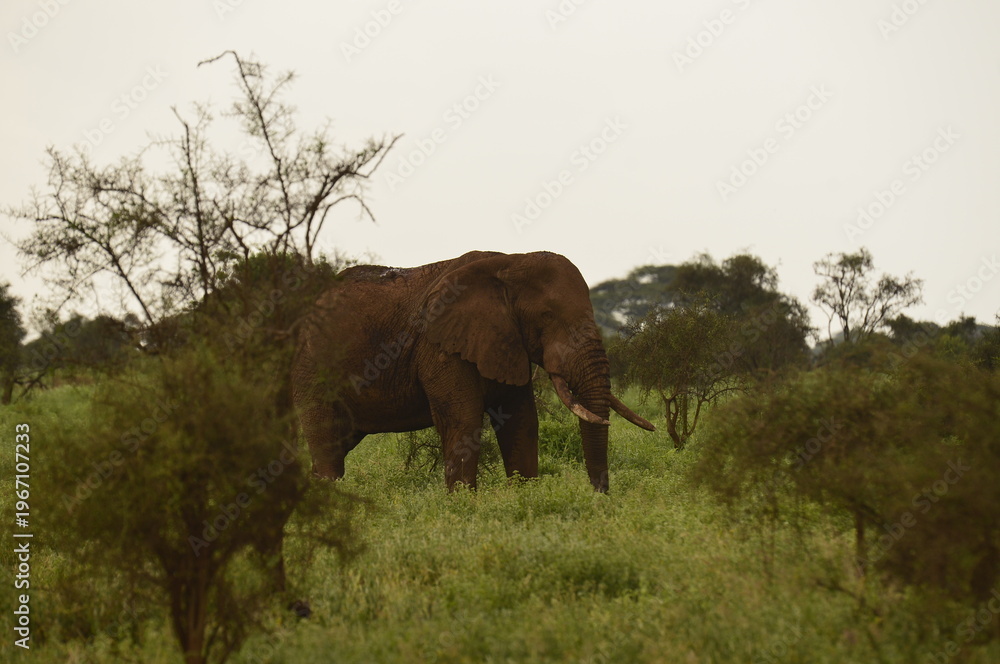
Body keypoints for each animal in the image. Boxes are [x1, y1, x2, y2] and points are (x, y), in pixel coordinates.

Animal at [292, 250, 654, 492]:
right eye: (547, 316)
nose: (599, 494)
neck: (509, 263)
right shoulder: (440, 346)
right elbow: (463, 421)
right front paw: (464, 506)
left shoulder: (506, 342)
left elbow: (522, 420)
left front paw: (526, 497)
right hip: (313, 368)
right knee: (327, 445)